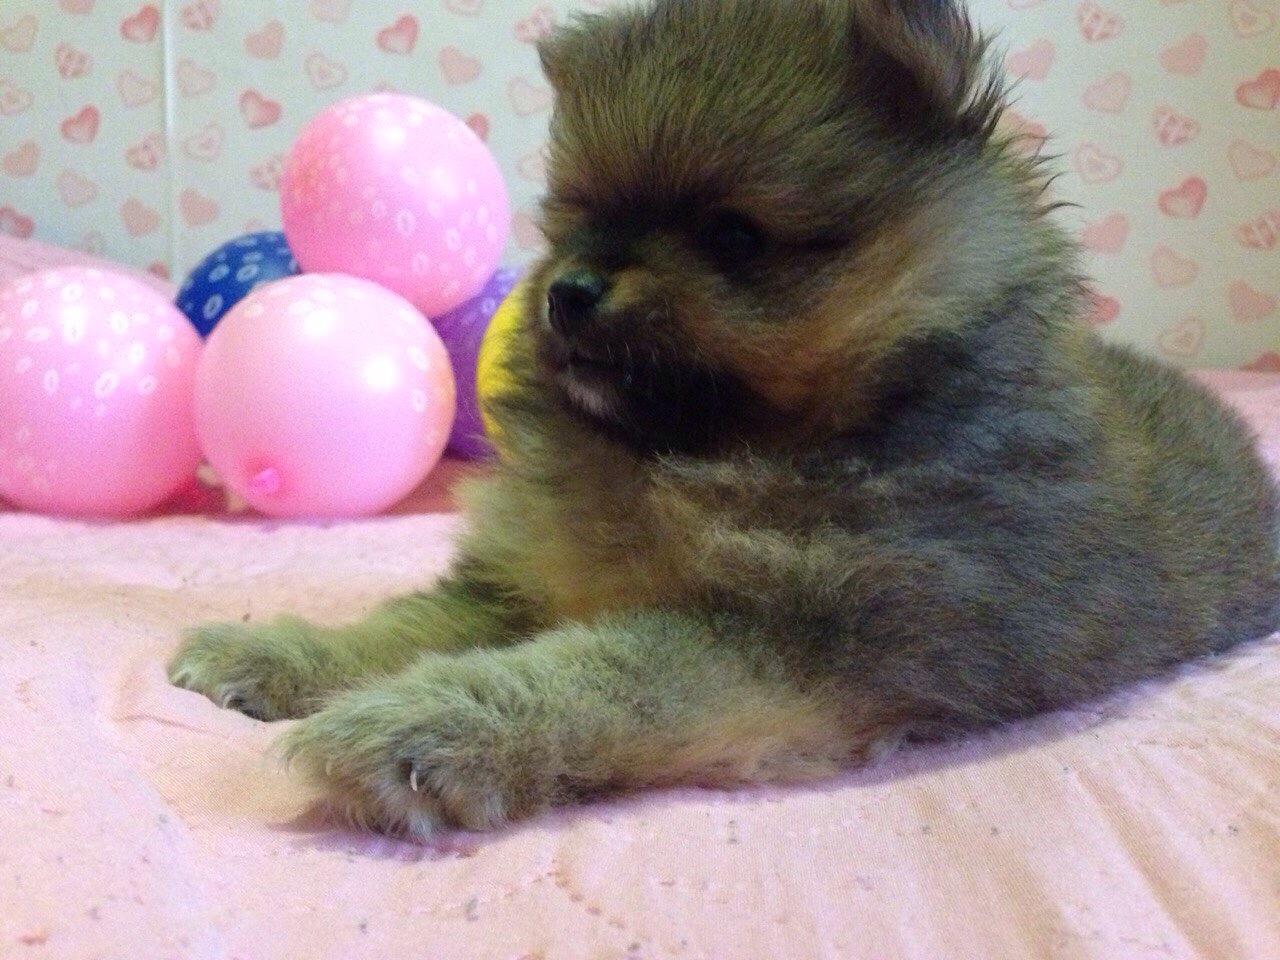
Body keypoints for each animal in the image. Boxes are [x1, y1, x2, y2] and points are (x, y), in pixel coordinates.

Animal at [169, 0, 1280, 838]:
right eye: (580, 216)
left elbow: (590, 677)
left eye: (732, 236)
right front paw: (274, 655)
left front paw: (414, 734)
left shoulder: (782, 643)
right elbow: (402, 624)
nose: (568, 291)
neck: (685, 458)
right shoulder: (524, 577)